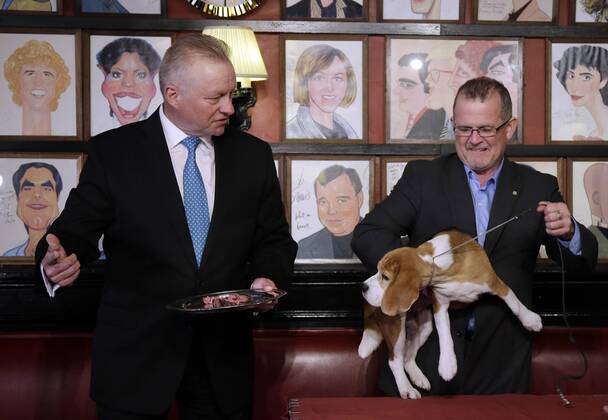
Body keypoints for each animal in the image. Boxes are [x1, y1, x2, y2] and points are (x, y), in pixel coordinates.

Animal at [356, 230, 540, 398]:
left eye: (385, 277)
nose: (363, 287)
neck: (435, 261)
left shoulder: (495, 283)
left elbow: (515, 303)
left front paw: (530, 319)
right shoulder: (440, 304)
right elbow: (445, 334)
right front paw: (447, 365)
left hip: (424, 328)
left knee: (407, 357)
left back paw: (418, 378)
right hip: (397, 328)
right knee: (395, 360)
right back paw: (406, 389)